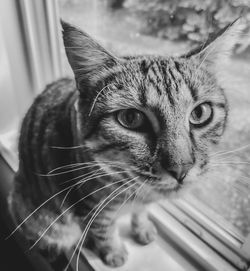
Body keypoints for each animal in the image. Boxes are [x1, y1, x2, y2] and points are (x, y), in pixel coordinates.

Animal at [9, 19, 240, 270]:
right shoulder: (89, 205)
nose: (181, 169)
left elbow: (141, 211)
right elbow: (103, 230)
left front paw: (142, 227)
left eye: (200, 113)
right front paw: (113, 251)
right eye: (131, 118)